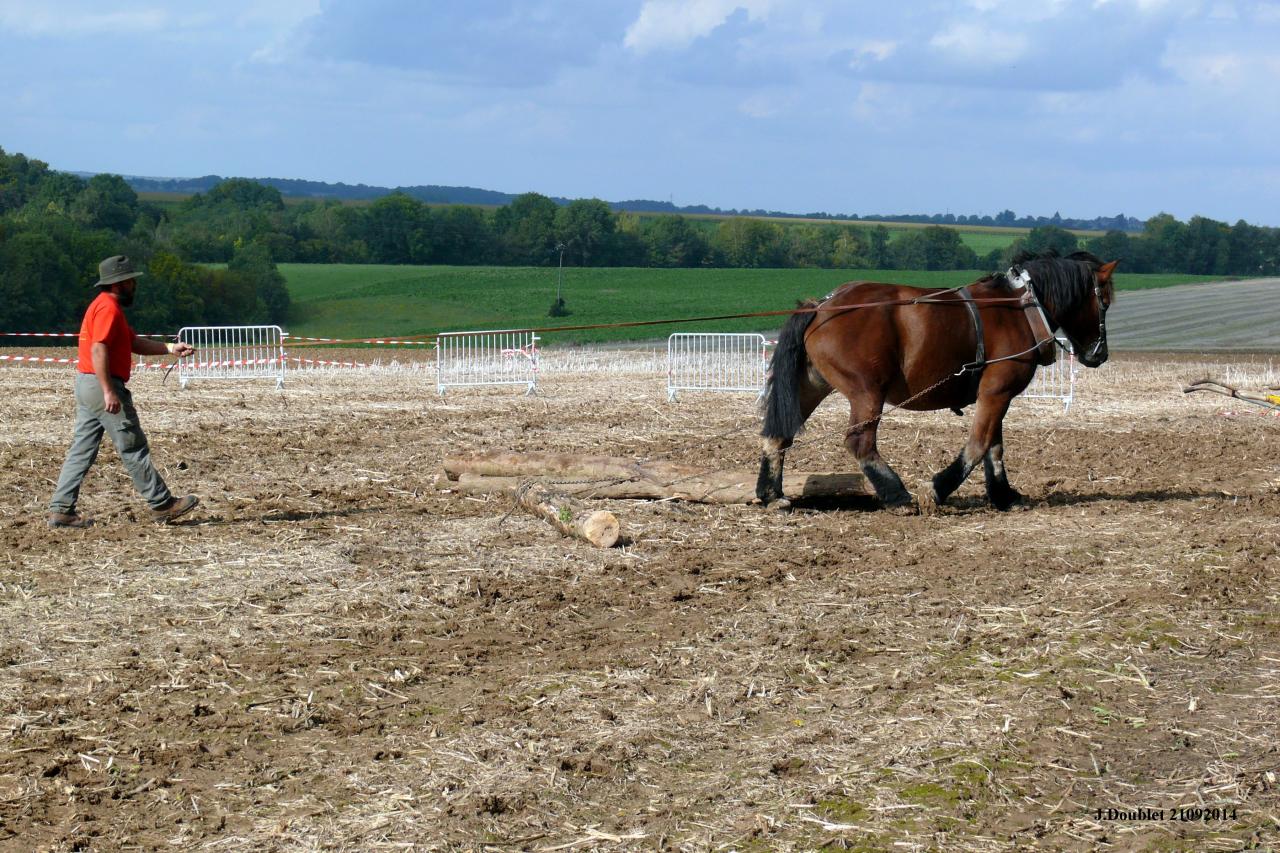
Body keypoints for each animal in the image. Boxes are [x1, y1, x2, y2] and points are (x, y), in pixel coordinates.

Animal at [756, 251, 1118, 512]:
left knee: (780, 435)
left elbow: (994, 448)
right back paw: (897, 496)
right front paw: (937, 489)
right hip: (866, 393)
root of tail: (822, 306)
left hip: (812, 385)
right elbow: (978, 445)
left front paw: (1004, 496)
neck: (1019, 309)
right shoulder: (997, 391)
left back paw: (772, 494)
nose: (1100, 354)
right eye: (1105, 301)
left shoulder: (996, 395)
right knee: (860, 442)